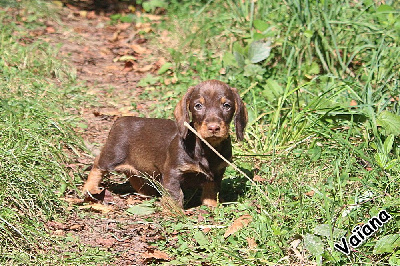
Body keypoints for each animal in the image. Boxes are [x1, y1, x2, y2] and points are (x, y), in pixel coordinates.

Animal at [82, 79, 247, 208]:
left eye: (227, 105)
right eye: (198, 106)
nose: (213, 128)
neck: (207, 148)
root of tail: (119, 120)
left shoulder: (217, 172)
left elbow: (212, 189)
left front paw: (211, 205)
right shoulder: (173, 172)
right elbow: (176, 195)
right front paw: (176, 213)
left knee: (133, 176)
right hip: (112, 156)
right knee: (97, 166)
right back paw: (90, 188)